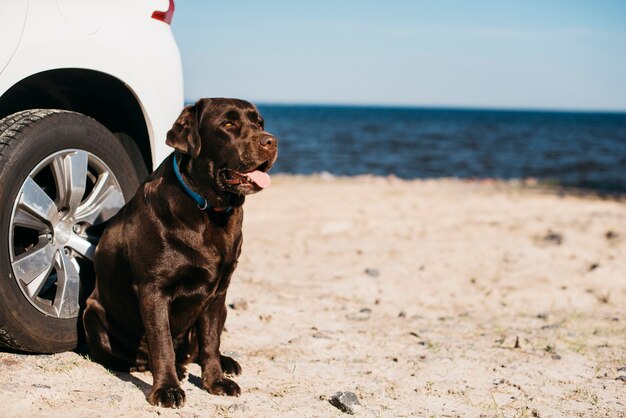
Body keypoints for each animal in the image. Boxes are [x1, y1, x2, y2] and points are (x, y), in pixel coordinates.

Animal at [82, 96, 276, 406]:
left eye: (259, 123)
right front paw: (167, 389)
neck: (209, 211)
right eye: (228, 124)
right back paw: (175, 369)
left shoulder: (219, 291)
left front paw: (216, 381)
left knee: (197, 349)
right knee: (138, 356)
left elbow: (210, 341)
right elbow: (161, 343)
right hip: (93, 314)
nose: (271, 141)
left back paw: (225, 363)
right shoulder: (154, 289)